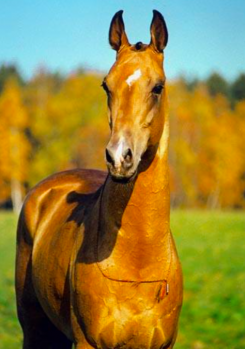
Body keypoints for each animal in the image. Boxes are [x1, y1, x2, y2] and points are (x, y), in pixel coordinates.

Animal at [15, 9, 183, 346]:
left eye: (157, 87)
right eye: (106, 86)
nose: (119, 157)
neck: (137, 266)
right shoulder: (87, 342)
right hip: (32, 324)